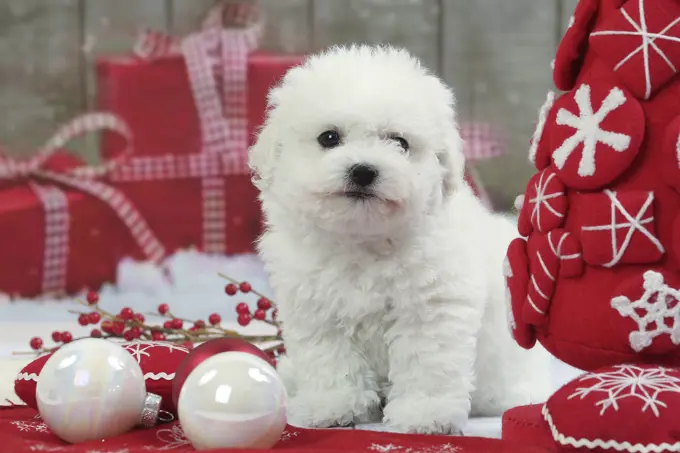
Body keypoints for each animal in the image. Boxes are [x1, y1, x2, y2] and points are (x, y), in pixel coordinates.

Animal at [247, 44, 548, 432]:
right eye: (329, 137)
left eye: (400, 143)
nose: (363, 170)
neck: (364, 239)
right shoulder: (316, 309)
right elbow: (330, 360)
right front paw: (333, 405)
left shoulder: (433, 306)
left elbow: (427, 362)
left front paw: (425, 414)